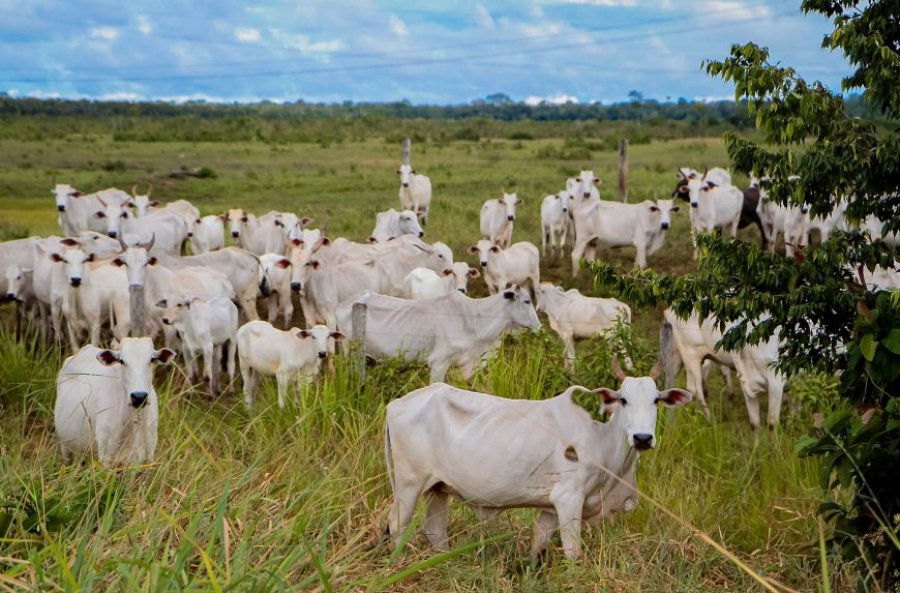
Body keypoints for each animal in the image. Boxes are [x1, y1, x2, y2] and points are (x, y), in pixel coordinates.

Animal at [56, 338, 178, 468]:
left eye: (151, 359)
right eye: (122, 361)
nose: (139, 397)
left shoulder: (148, 458)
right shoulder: (106, 458)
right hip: (65, 448)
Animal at [384, 354, 692, 556]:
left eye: (656, 400)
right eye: (623, 400)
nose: (642, 438)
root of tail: (395, 404)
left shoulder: (549, 508)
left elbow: (538, 547)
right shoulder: (569, 499)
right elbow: (573, 552)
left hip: (438, 488)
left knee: (435, 532)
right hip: (409, 484)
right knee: (397, 526)